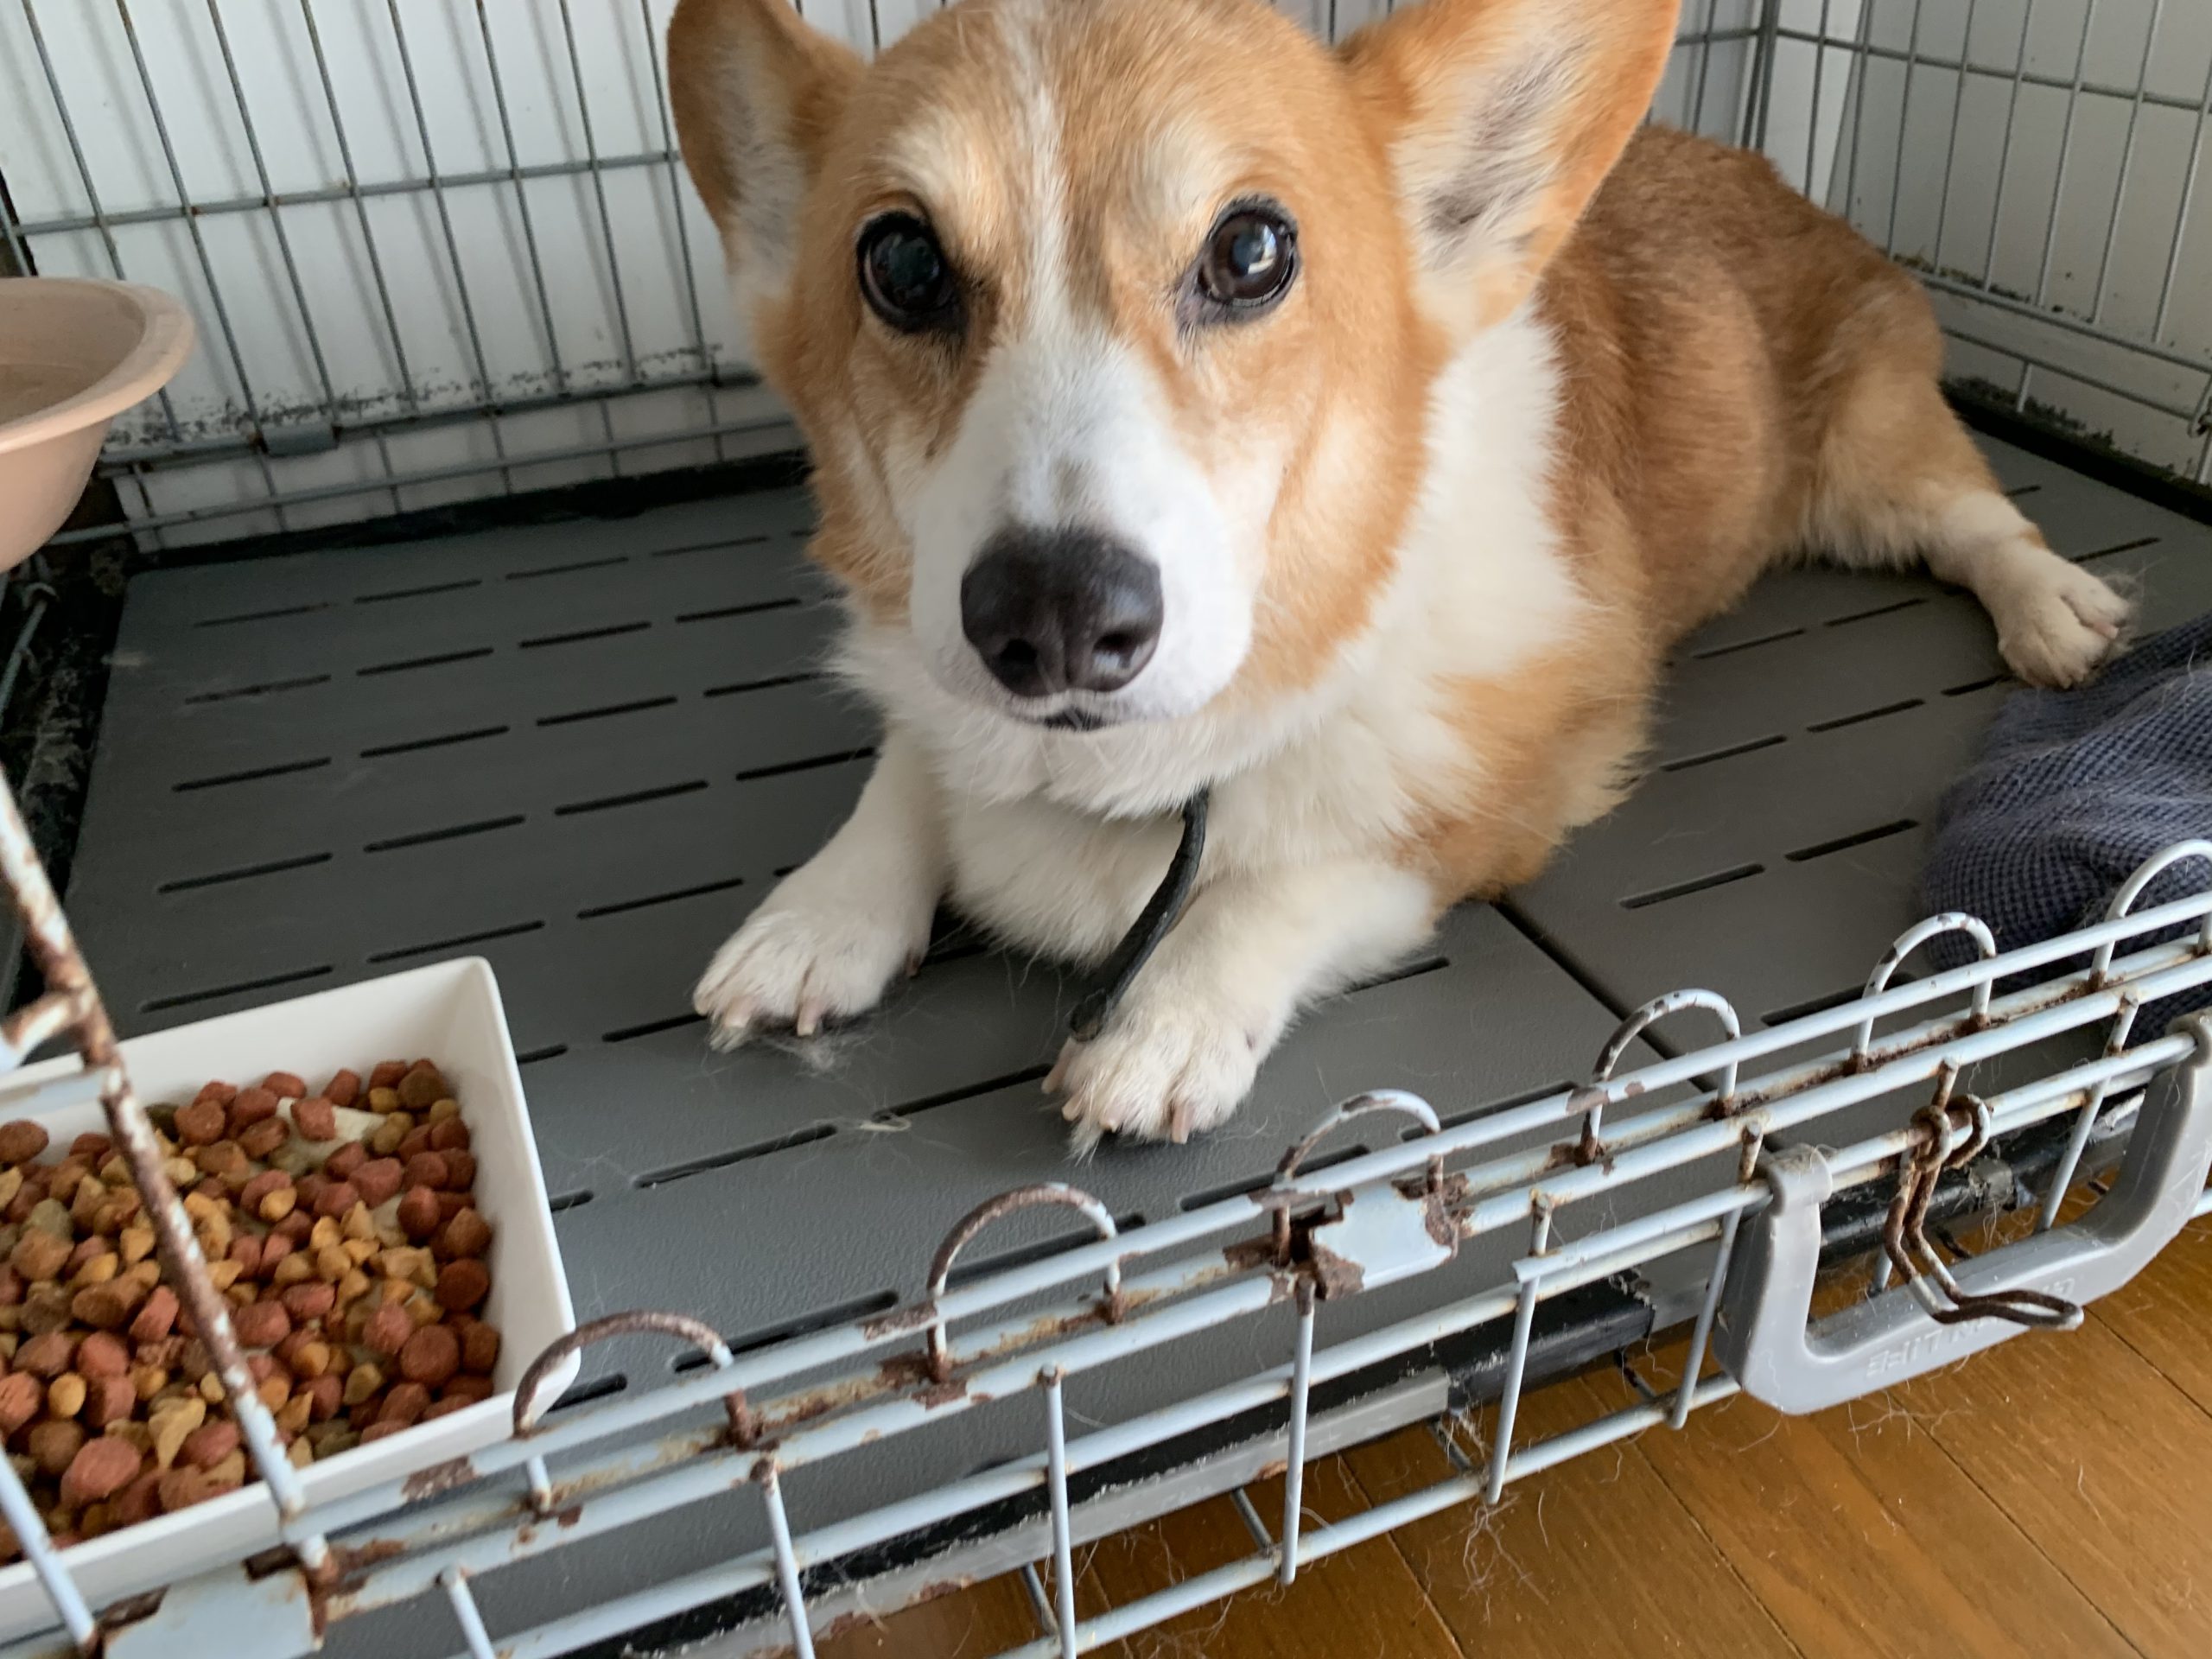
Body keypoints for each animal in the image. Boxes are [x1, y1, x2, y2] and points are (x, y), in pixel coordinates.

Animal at [667, 0, 2130, 1149]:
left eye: (1252, 252)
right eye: (904, 263)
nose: (1054, 621)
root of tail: (1781, 173)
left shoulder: (1481, 812)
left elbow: (1287, 882)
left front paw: (1165, 1026)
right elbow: (909, 767)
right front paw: (822, 915)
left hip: (1876, 463)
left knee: (1976, 517)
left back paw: (2058, 612)